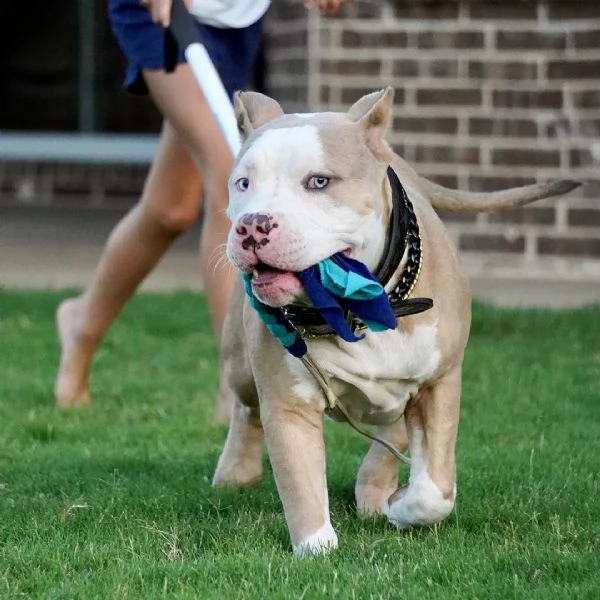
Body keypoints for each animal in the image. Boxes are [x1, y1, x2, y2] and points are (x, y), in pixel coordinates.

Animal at [212, 88, 580, 556]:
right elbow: (302, 484)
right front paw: (316, 547)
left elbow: (434, 490)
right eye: (244, 183)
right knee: (246, 406)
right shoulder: (288, 402)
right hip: (240, 366)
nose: (251, 225)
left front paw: (402, 507)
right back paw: (236, 472)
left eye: (319, 182)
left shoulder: (439, 384)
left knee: (393, 435)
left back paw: (375, 491)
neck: (355, 311)